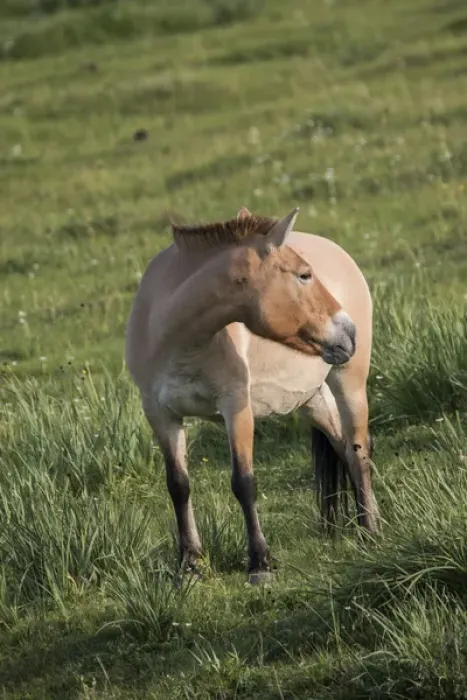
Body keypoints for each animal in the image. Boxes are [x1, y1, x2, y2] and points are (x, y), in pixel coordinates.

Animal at [125, 207, 378, 583]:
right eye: (304, 275)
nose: (349, 331)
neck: (179, 340)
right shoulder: (160, 414)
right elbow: (178, 485)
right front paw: (190, 564)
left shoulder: (236, 407)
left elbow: (244, 483)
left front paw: (261, 564)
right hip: (313, 401)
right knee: (345, 449)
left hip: (349, 383)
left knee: (360, 451)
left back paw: (371, 532)